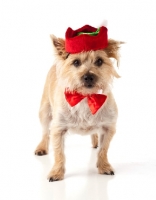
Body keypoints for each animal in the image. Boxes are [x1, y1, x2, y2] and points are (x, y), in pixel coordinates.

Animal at [34, 25, 122, 181]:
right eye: (76, 62)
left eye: (99, 61)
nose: (88, 77)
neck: (85, 97)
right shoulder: (58, 129)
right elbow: (59, 153)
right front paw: (56, 172)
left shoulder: (108, 127)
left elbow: (103, 149)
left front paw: (104, 166)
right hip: (44, 112)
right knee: (45, 132)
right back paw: (42, 147)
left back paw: (95, 142)